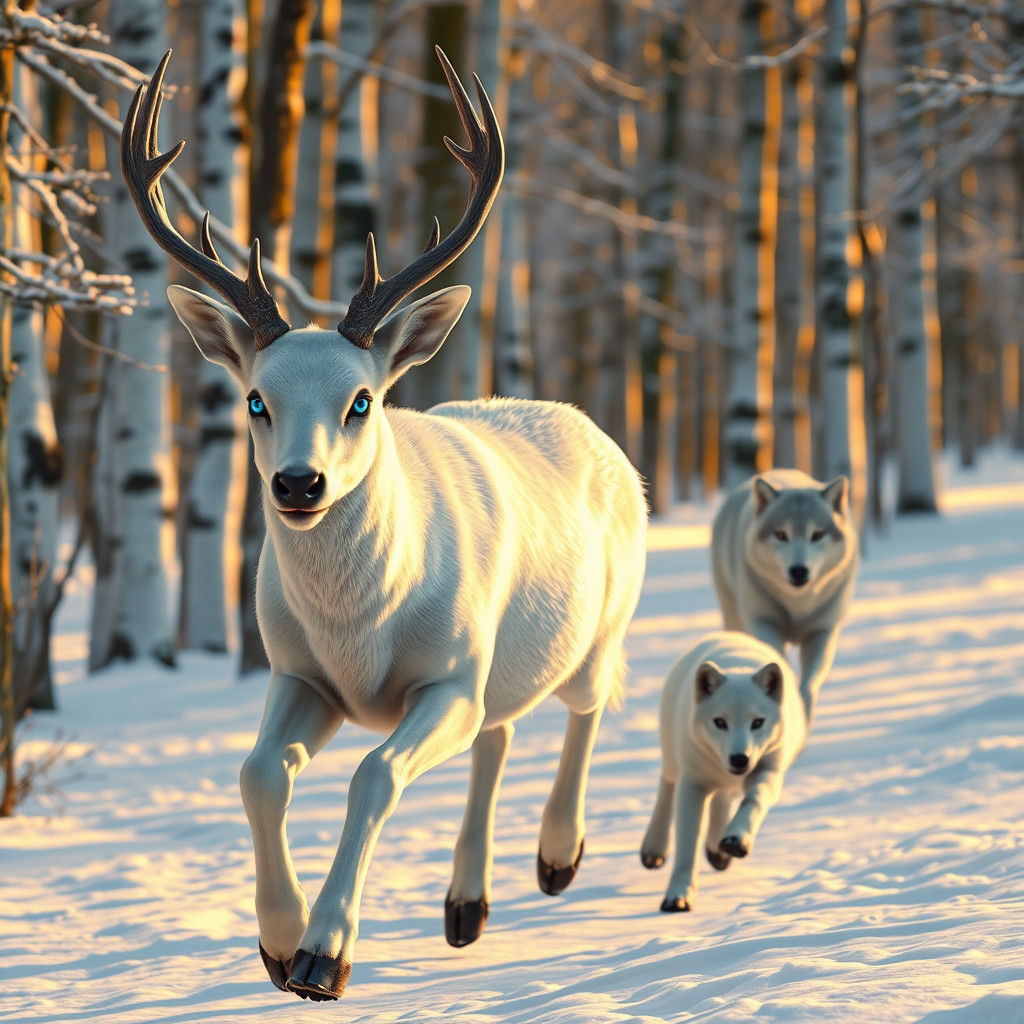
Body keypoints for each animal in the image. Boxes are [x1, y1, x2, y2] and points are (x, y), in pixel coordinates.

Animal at [121, 50, 647, 1001]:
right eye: (255, 399)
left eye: (362, 399)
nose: (299, 483)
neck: (361, 627)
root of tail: (592, 429)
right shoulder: (300, 672)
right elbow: (258, 772)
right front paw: (275, 942)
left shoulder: (444, 678)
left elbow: (373, 776)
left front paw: (323, 956)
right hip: (497, 665)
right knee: (499, 731)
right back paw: (466, 907)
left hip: (600, 624)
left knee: (588, 701)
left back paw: (558, 856)